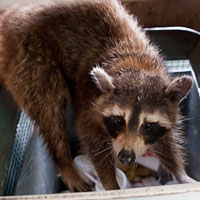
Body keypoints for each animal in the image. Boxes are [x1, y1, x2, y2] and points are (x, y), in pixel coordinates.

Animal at [0, 0, 197, 191]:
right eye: (119, 120)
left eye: (148, 125)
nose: (125, 158)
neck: (135, 64)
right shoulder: (90, 102)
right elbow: (93, 141)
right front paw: (110, 183)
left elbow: (166, 141)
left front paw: (179, 171)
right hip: (29, 56)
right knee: (49, 107)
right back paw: (64, 161)